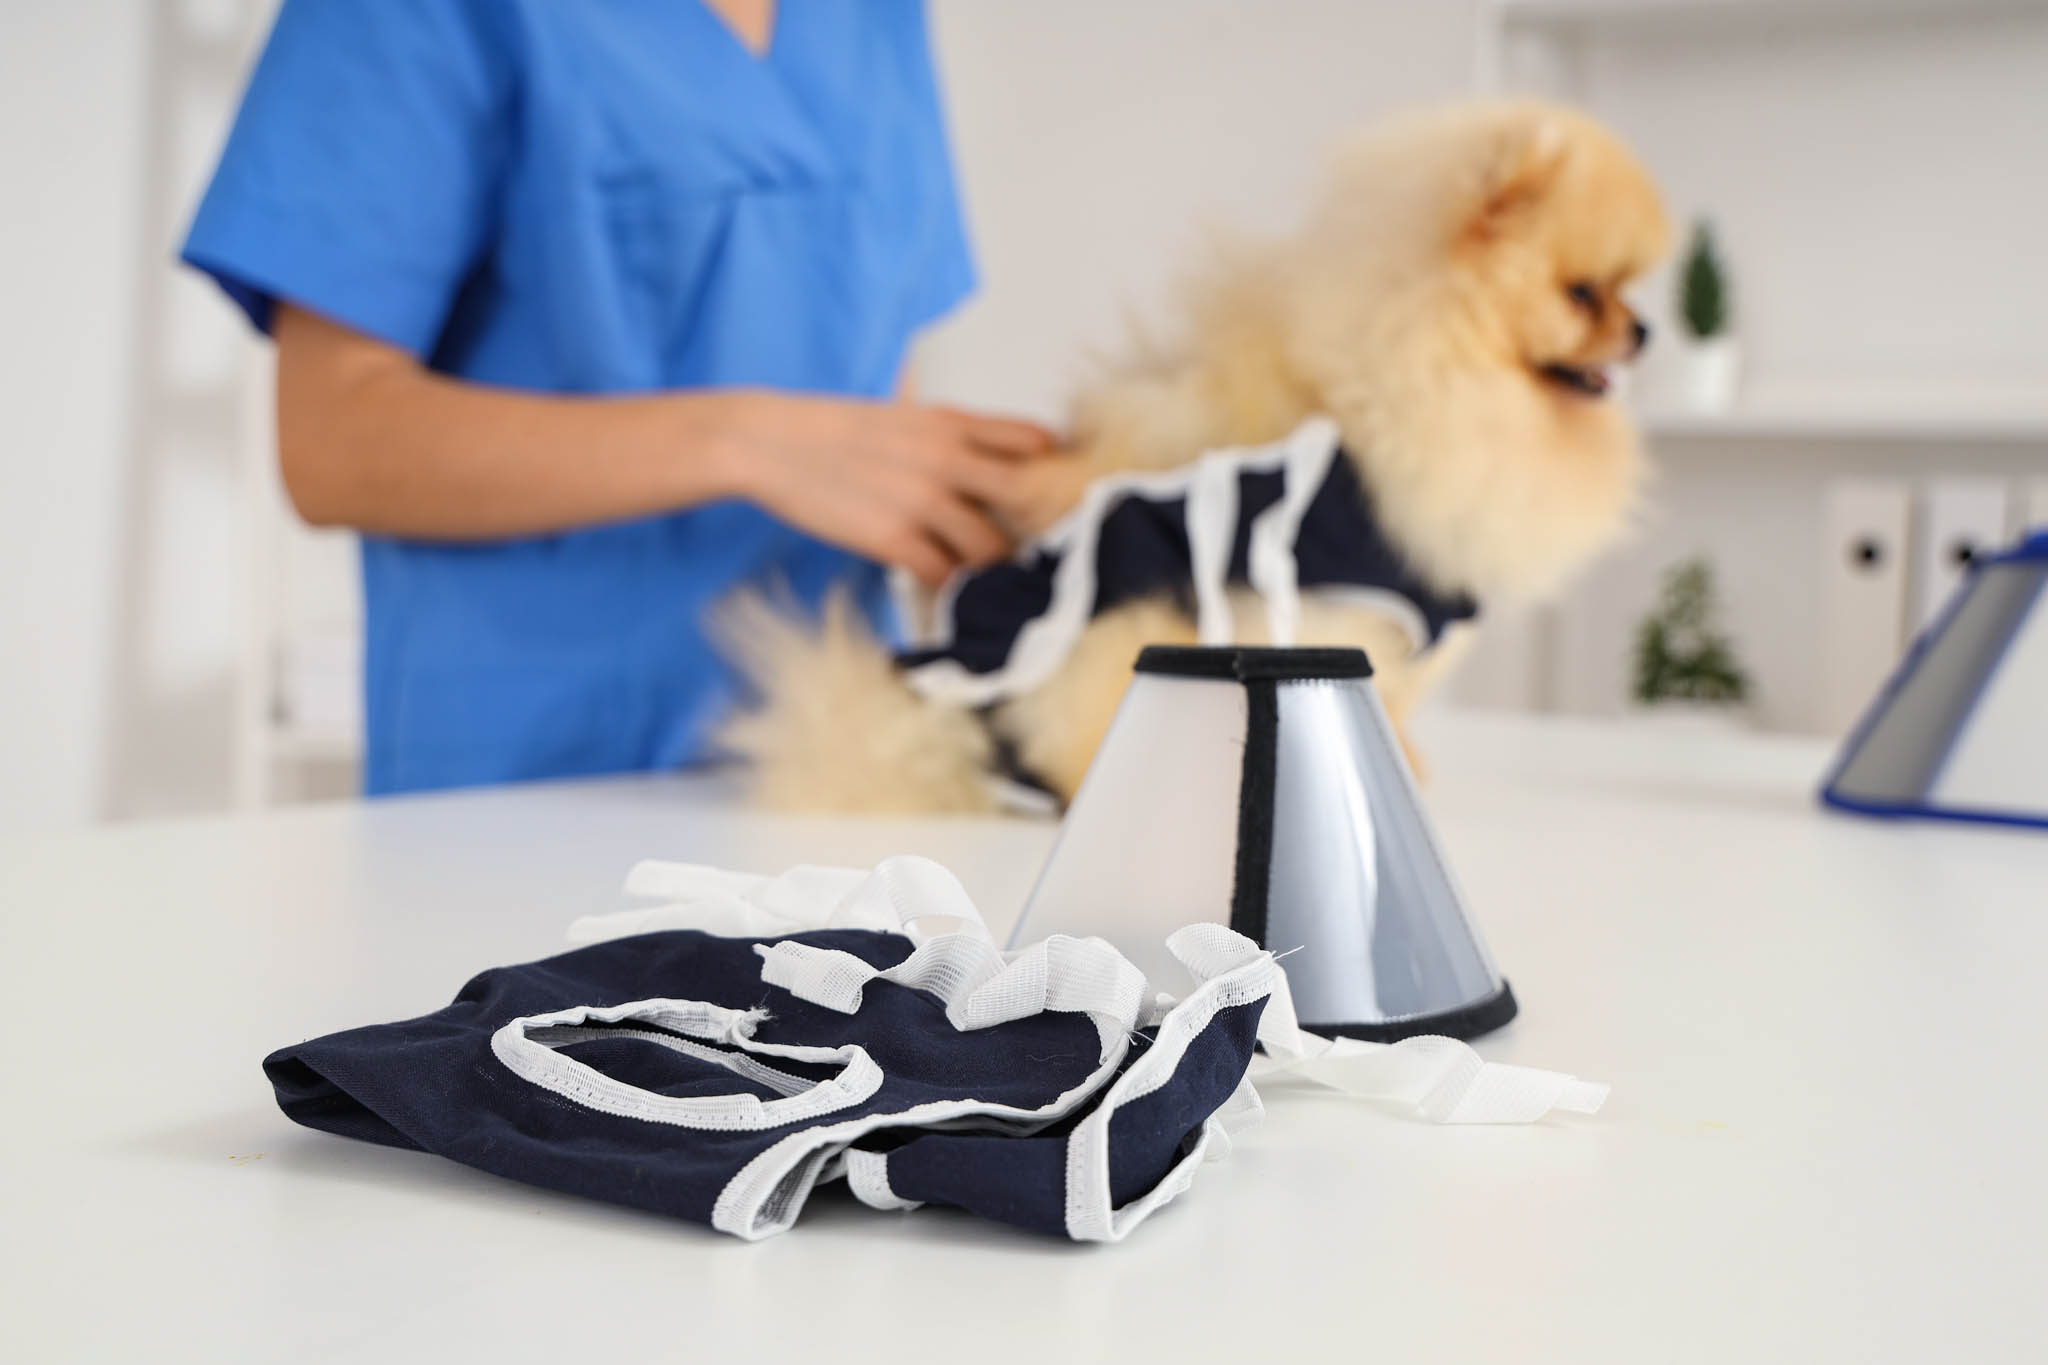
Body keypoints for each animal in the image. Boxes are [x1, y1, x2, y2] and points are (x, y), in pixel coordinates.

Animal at [720, 104, 1662, 822]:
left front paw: (1407, 766)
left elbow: (1397, 700)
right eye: (1584, 293)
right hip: (1128, 632)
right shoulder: (1329, 606)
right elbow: (1368, 687)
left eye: (1630, 293)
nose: (1646, 330)